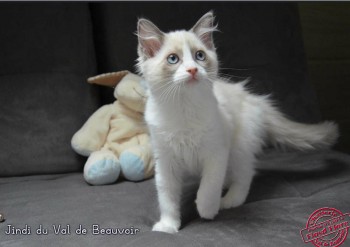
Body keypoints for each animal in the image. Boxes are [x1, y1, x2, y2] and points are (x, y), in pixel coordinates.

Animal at [136, 10, 336, 233]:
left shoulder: (217, 152)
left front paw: (207, 209)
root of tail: (254, 99)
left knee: (246, 174)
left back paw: (229, 200)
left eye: (199, 56)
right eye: (173, 59)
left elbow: (209, 186)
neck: (184, 109)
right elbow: (167, 197)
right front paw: (168, 226)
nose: (193, 70)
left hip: (239, 147)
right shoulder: (165, 161)